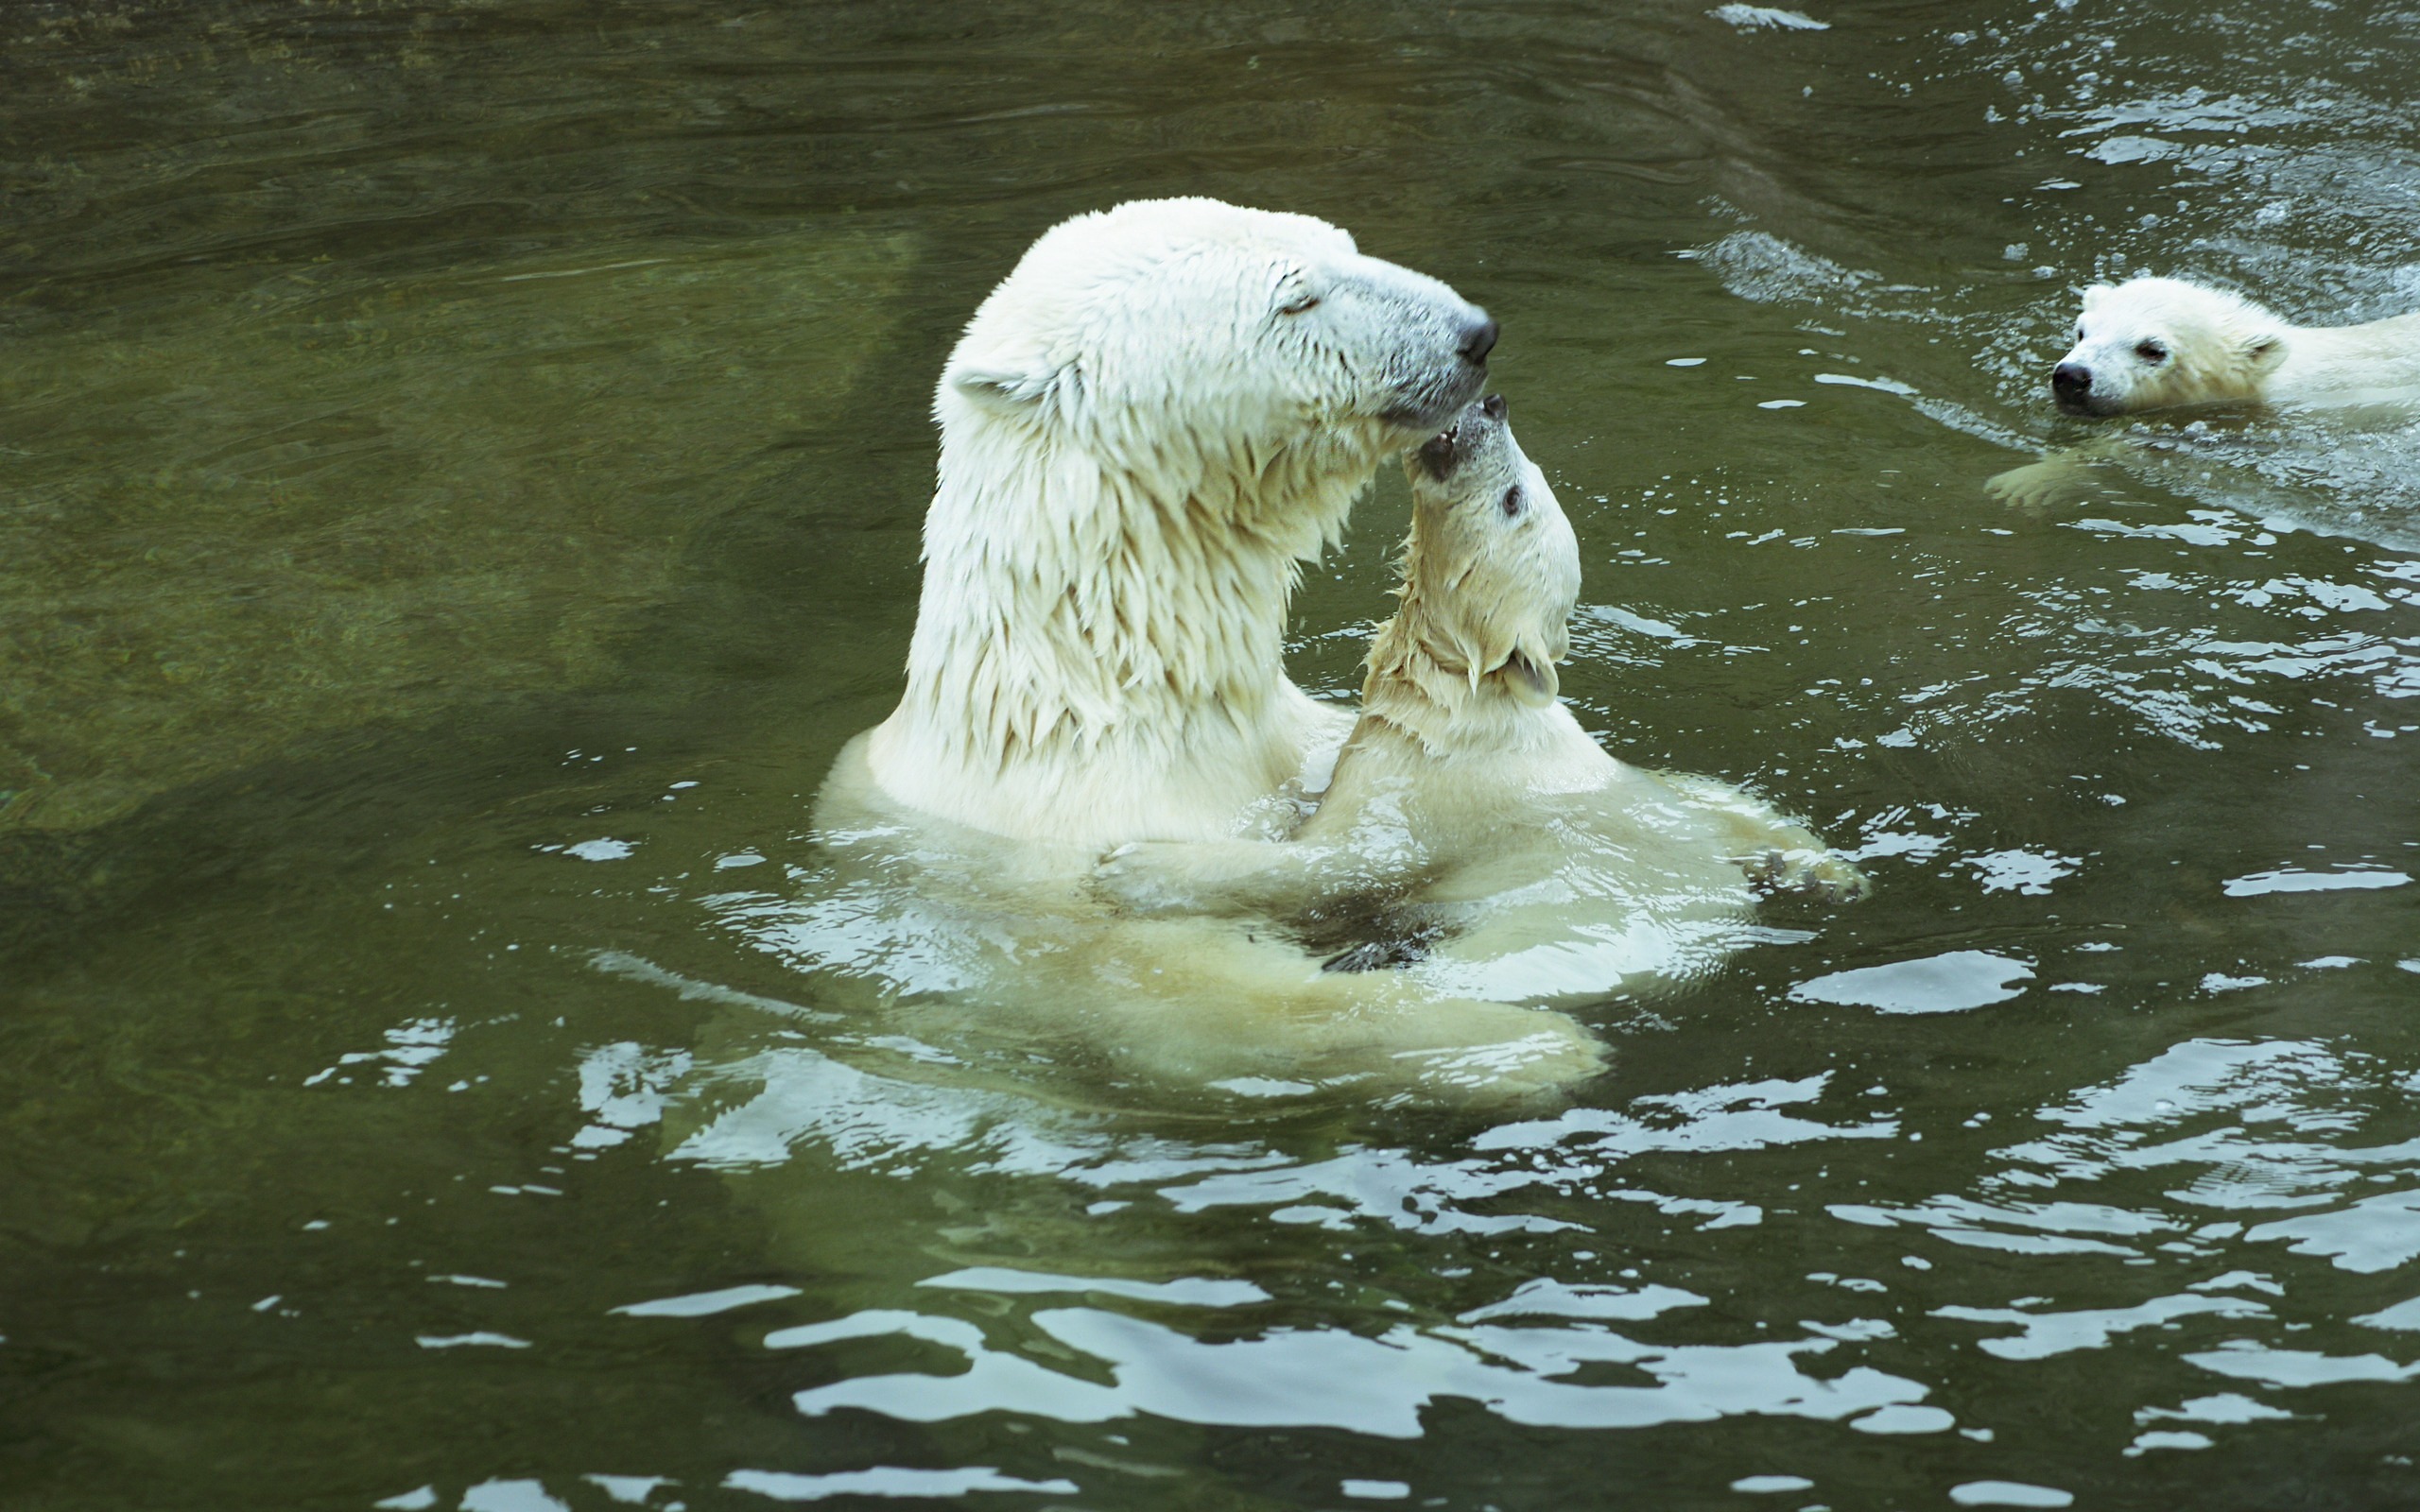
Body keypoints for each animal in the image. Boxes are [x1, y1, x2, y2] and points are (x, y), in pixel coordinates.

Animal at [1098, 394, 1868, 991]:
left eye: (1513, 497)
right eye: (1531, 477)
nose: (1492, 405)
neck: (1459, 697)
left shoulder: (1429, 788)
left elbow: (1341, 860)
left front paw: (1135, 865)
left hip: (1564, 925)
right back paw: (1822, 872)